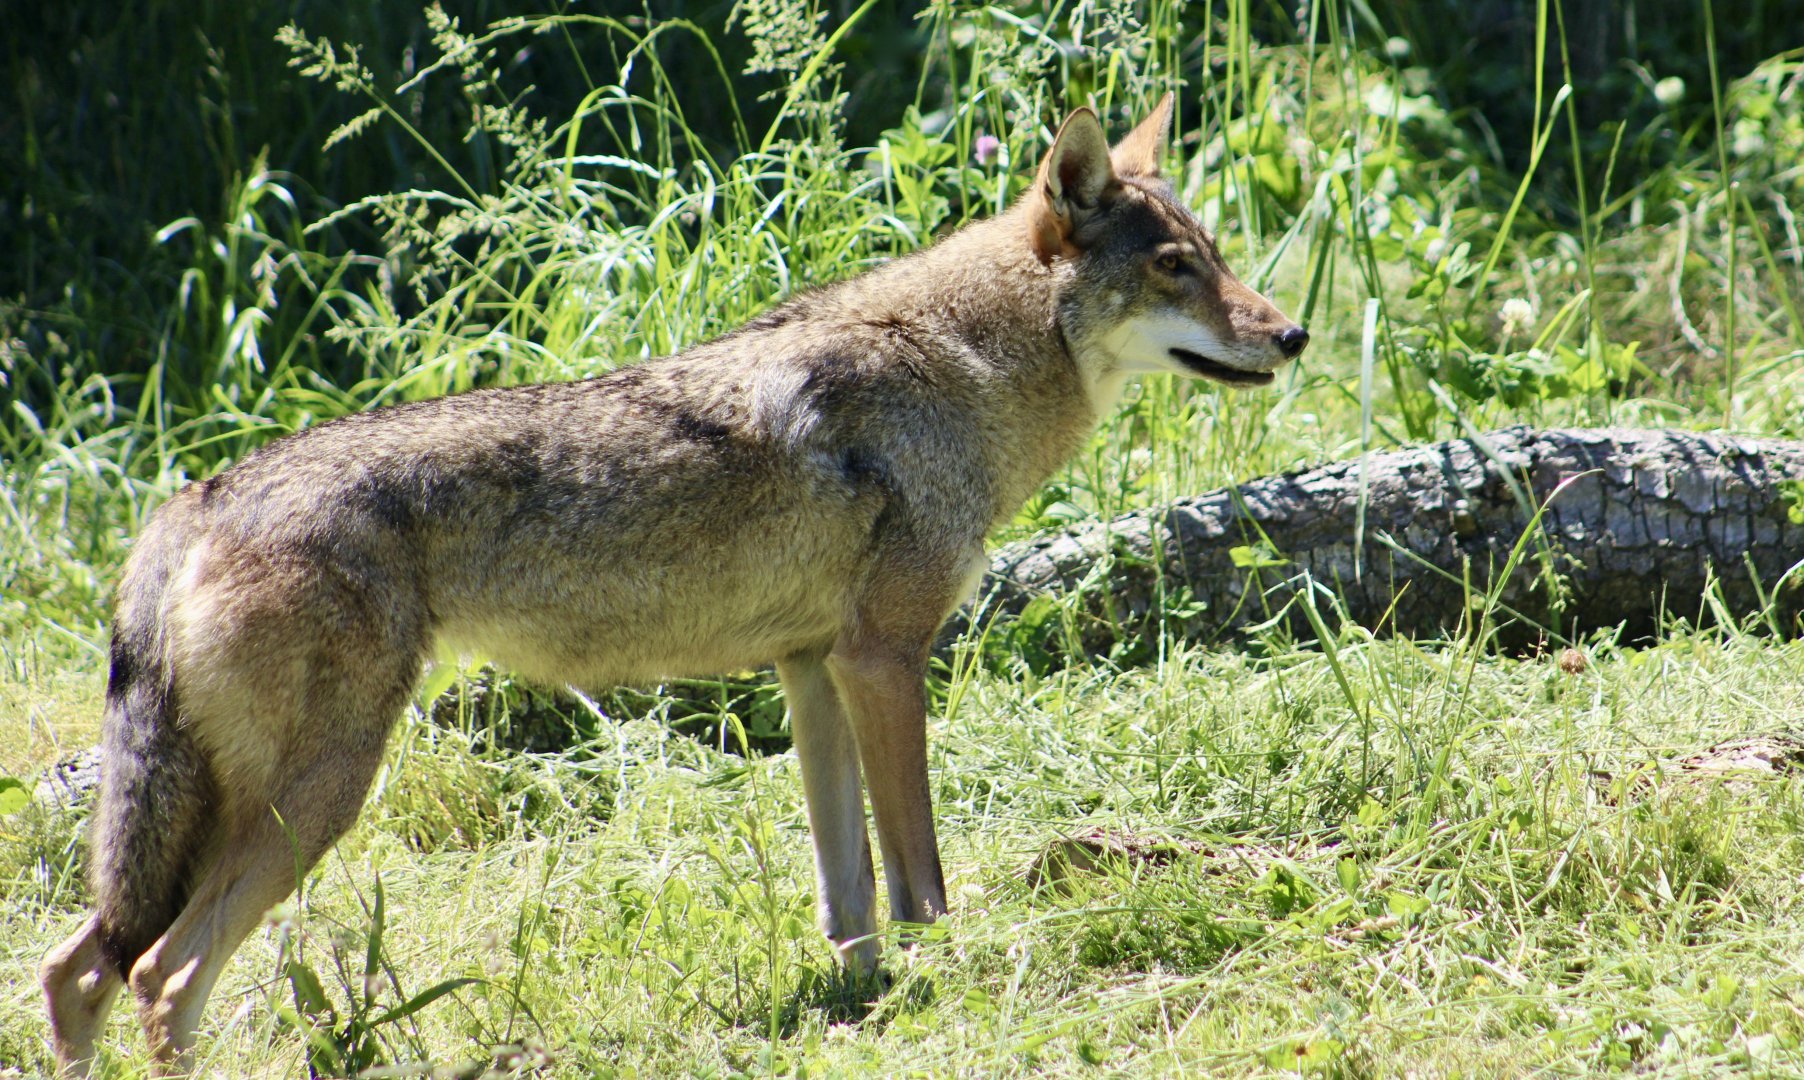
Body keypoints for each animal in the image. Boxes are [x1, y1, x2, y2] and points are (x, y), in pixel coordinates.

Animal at [40, 94, 1306, 1073]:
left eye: (1217, 257)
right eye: (1175, 270)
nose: (1291, 337)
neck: (963, 368)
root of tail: (190, 501)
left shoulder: (812, 672)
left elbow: (847, 894)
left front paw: (869, 1002)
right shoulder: (883, 659)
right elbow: (921, 875)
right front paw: (951, 971)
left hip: (221, 816)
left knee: (77, 971)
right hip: (322, 794)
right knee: (160, 979)